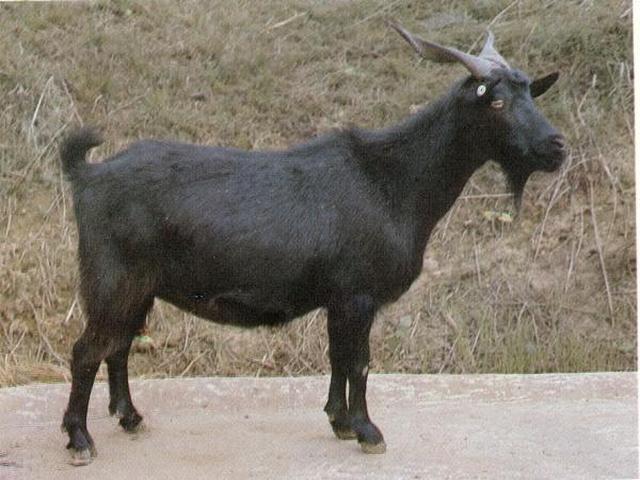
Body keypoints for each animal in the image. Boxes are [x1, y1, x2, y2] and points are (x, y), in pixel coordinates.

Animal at [60, 20, 566, 465]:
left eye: (530, 93)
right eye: (495, 102)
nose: (556, 145)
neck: (391, 182)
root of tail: (87, 174)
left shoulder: (339, 299)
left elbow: (338, 358)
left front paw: (339, 422)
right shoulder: (358, 295)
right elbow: (359, 362)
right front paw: (368, 432)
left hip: (138, 287)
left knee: (119, 345)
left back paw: (129, 417)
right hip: (113, 279)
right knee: (88, 350)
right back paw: (80, 440)